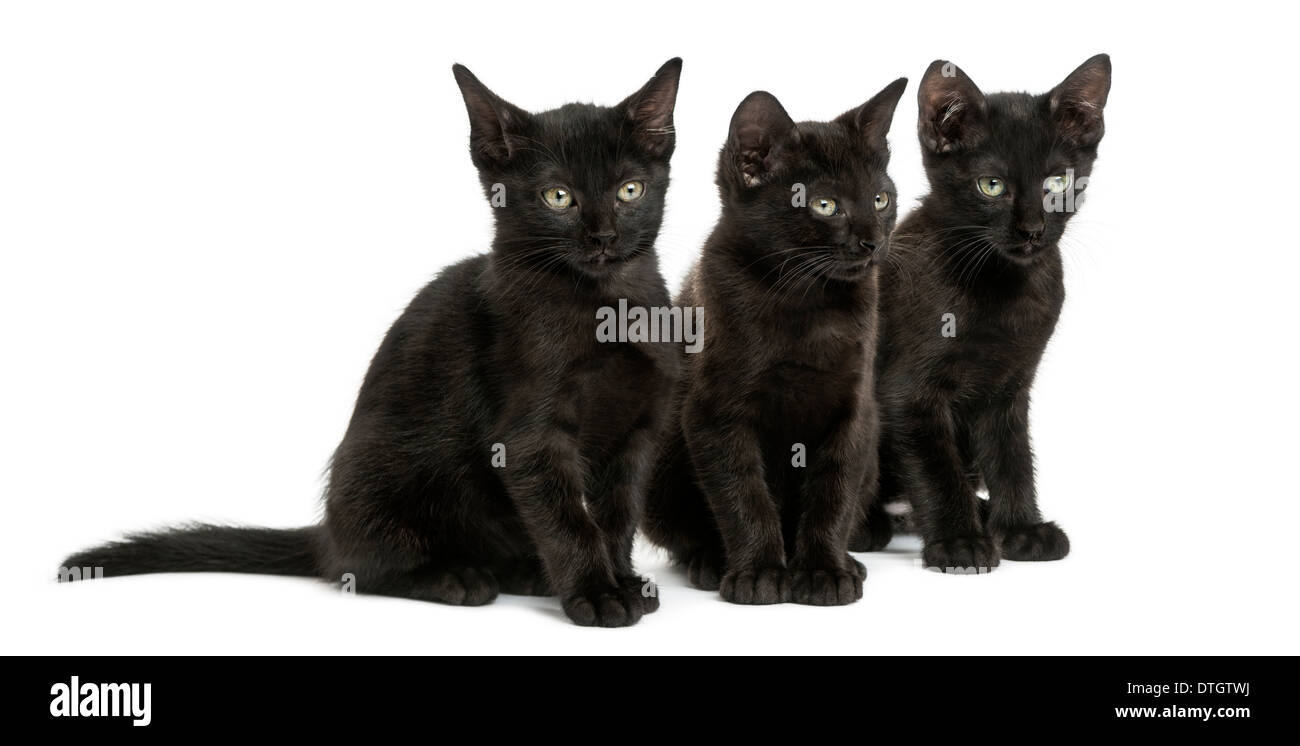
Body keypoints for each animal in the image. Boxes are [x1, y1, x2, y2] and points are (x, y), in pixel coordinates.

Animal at [61, 59, 686, 631]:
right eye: (557, 196)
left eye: (630, 190)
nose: (603, 237)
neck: (607, 308)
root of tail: (327, 531)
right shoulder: (531, 437)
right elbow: (568, 519)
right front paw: (596, 594)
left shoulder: (639, 431)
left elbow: (617, 515)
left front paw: (622, 579)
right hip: (385, 471)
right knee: (361, 566)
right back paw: (457, 577)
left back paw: (527, 572)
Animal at [639, 78, 904, 608]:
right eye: (825, 205)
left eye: (881, 199)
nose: (872, 241)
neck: (806, 302)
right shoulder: (714, 414)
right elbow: (743, 494)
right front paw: (760, 573)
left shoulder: (854, 411)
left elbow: (833, 493)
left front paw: (825, 571)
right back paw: (710, 562)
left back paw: (851, 561)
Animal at [852, 57, 1118, 571]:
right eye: (991, 186)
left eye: (1056, 184)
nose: (1032, 230)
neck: (1002, 286)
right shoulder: (908, 393)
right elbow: (938, 468)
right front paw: (959, 542)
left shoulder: (1008, 387)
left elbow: (1012, 457)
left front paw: (1020, 529)